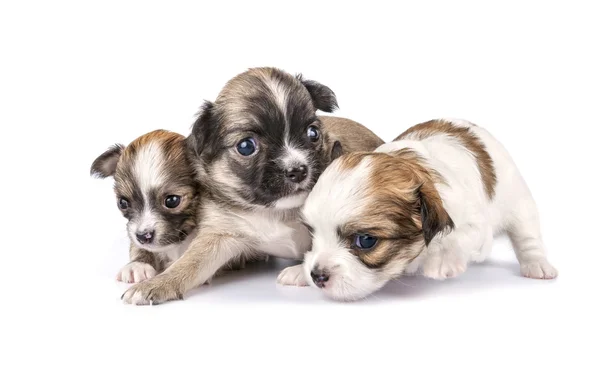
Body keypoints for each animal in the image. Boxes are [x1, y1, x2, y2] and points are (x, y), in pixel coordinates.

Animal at [121, 67, 384, 304]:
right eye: (246, 146)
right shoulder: (220, 235)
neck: (276, 211)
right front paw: (158, 284)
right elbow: (189, 264)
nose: (298, 170)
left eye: (313, 133)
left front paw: (301, 272)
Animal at [298, 119, 556, 300]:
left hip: (518, 201)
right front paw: (299, 271)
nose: (317, 276)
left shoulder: (476, 226)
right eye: (311, 233)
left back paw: (537, 265)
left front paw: (442, 259)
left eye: (366, 241)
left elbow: (458, 235)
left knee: (527, 235)